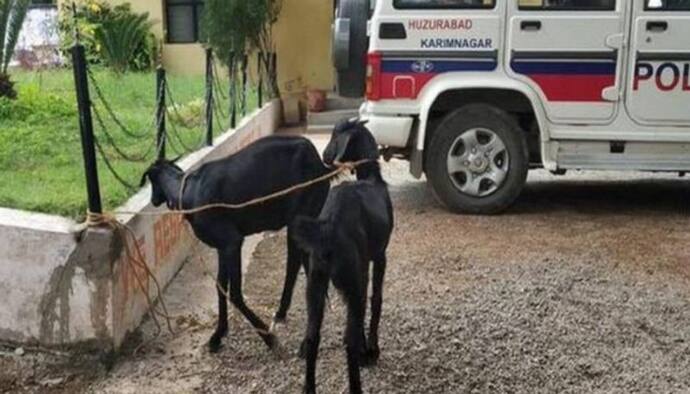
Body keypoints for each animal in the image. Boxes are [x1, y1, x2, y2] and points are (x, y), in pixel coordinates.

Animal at [140, 134, 328, 352]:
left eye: (151, 181)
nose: (154, 200)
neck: (187, 190)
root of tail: (319, 163)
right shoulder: (222, 247)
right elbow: (220, 286)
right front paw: (217, 335)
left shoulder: (231, 241)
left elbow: (235, 293)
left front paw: (268, 337)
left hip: (301, 213)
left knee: (294, 263)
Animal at [292, 119, 392, 394]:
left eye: (335, 136)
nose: (325, 156)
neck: (371, 178)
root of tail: (328, 227)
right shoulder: (380, 256)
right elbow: (376, 299)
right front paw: (371, 350)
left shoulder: (363, 267)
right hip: (350, 279)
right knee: (348, 338)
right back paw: (357, 384)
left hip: (315, 282)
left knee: (313, 335)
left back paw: (309, 388)